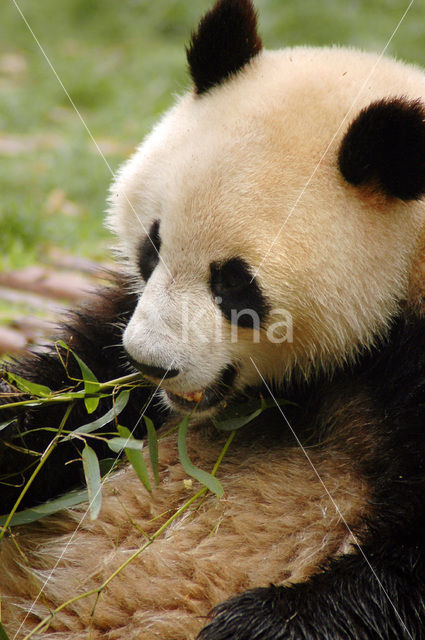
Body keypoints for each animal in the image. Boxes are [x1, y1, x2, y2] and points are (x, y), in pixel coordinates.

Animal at [0, 0, 424, 636]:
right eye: (152, 247)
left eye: (233, 282)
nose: (150, 363)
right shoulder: (117, 334)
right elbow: (69, 402)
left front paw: (253, 620)